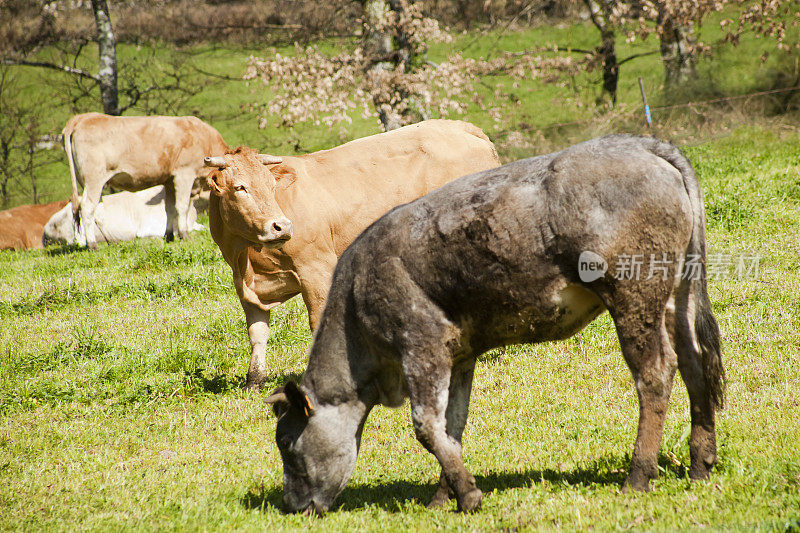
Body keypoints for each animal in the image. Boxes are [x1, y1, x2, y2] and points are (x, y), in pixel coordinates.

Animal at [63, 112, 228, 249]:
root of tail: (83, 117)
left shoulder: (169, 181)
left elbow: (170, 209)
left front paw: (169, 236)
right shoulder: (184, 174)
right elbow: (182, 206)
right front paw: (184, 235)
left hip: (91, 182)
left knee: (96, 212)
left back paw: (111, 241)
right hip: (94, 180)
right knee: (87, 208)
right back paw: (92, 244)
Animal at [206, 118, 500, 388]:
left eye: (272, 186)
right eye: (240, 187)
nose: (282, 226)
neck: (248, 259)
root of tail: (461, 126)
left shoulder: (316, 270)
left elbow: (317, 324)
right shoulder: (245, 287)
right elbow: (257, 333)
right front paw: (254, 381)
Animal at [268, 135, 724, 512]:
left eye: (286, 443)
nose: (292, 504)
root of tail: (641, 143)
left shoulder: (421, 345)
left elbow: (426, 426)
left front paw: (468, 497)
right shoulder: (459, 355)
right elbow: (451, 426)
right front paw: (444, 497)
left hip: (634, 297)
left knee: (655, 374)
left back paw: (639, 475)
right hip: (676, 295)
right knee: (694, 361)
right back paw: (701, 463)